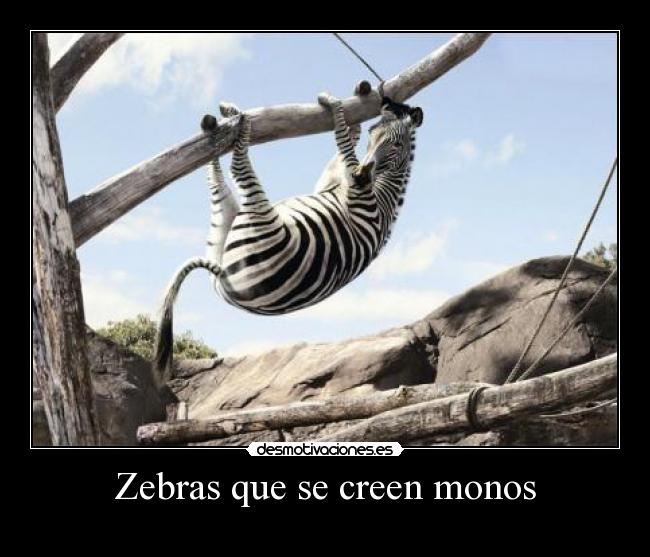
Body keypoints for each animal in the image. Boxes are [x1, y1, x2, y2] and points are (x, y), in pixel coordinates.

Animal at [152, 88, 423, 388]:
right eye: (373, 135)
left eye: (396, 144)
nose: (362, 174)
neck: (383, 193)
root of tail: (223, 277)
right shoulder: (331, 184)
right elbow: (342, 149)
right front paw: (346, 114)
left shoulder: (357, 196)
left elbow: (341, 140)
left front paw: (333, 105)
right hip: (221, 228)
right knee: (215, 177)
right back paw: (219, 126)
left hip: (256, 216)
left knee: (238, 166)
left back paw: (241, 123)